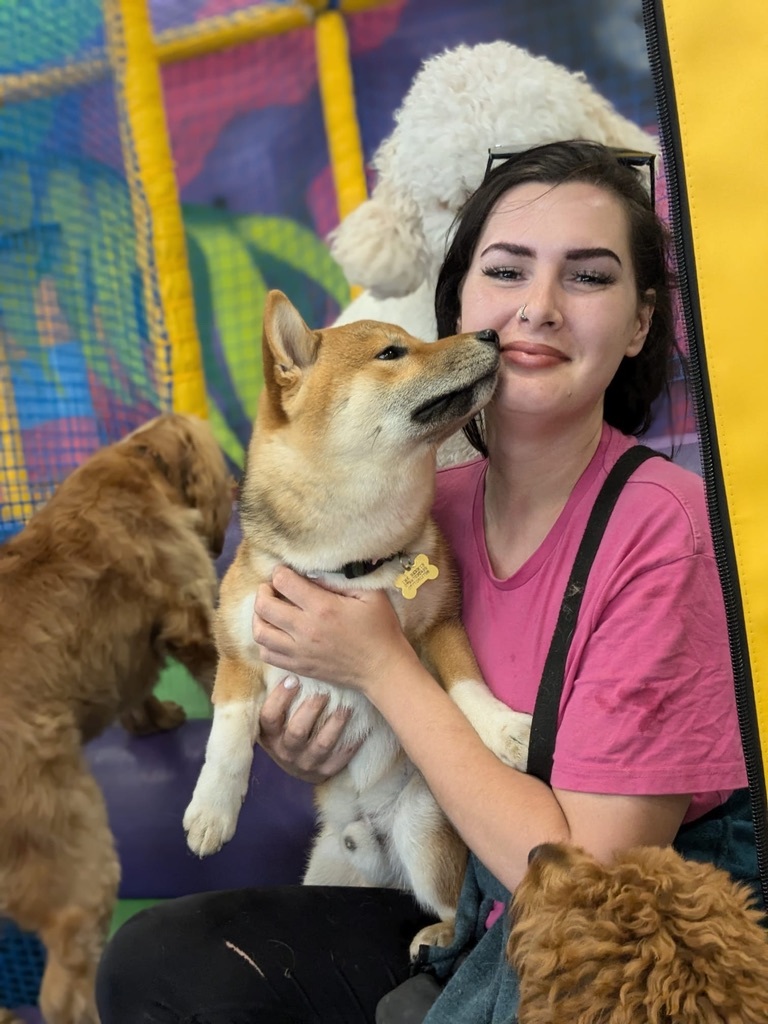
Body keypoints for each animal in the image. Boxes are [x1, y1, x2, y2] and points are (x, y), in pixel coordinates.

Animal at [0, 413, 234, 1024]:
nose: (235, 485)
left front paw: (158, 720)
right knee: (64, 991)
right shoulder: (188, 609)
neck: (141, 459)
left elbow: (139, 700)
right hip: (75, 858)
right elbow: (214, 663)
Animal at [183, 290, 532, 958]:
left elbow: (467, 687)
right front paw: (212, 809)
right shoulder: (237, 653)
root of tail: (372, 841)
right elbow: (227, 736)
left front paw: (503, 729)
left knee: (456, 909)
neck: (350, 562)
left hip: (424, 827)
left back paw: (437, 933)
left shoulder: (440, 625)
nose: (491, 334)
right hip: (330, 864)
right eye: (392, 352)